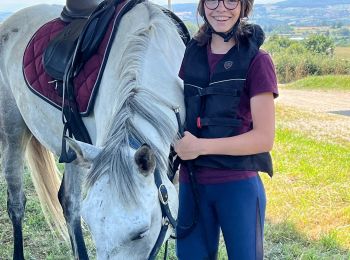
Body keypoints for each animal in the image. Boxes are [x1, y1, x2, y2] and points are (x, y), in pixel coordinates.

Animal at [0, 1, 186, 258]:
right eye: (92, 225)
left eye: (140, 233)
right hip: (13, 132)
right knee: (17, 201)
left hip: (72, 147)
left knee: (68, 202)